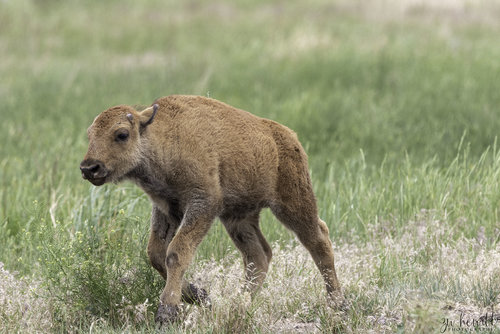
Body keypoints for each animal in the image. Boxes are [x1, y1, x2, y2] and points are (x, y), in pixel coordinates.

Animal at [80, 95, 342, 324]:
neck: (164, 137)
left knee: (318, 240)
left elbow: (176, 252)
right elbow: (156, 254)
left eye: (122, 134)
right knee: (258, 256)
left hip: (293, 204)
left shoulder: (203, 203)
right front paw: (201, 297)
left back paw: (338, 305)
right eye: (90, 135)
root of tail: (289, 137)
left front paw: (167, 312)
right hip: (239, 218)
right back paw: (238, 305)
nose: (89, 168)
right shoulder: (166, 209)